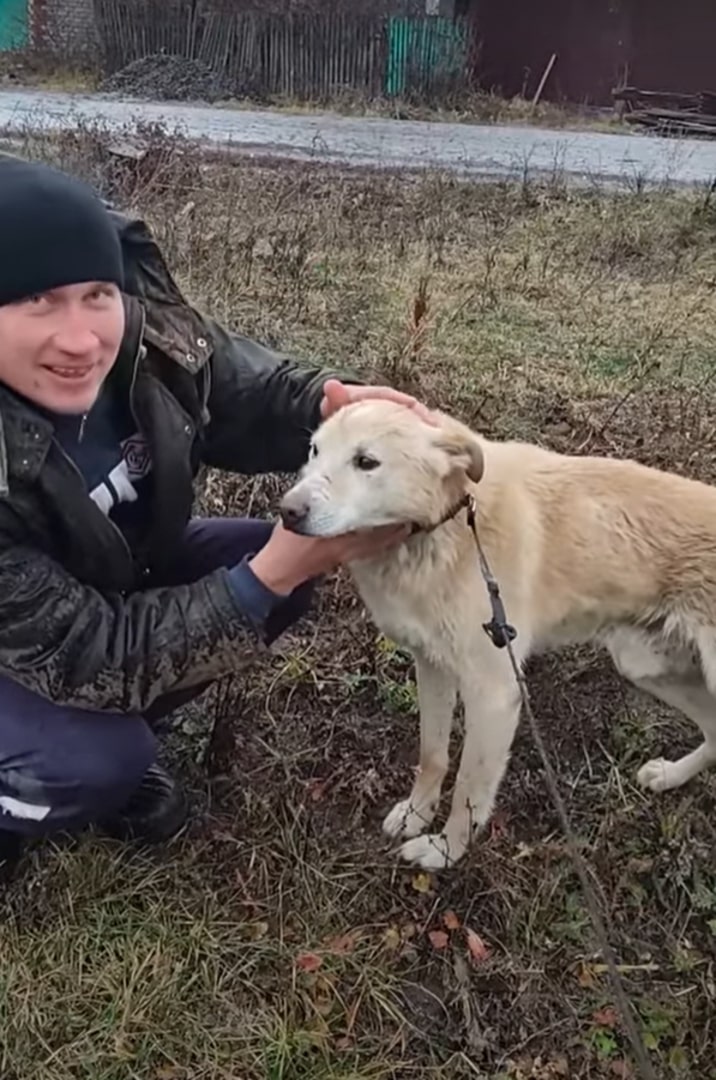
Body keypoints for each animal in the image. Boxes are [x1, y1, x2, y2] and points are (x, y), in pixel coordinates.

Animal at [278, 401, 716, 872]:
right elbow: (432, 755)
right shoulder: (432, 665)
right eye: (315, 450)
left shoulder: (494, 696)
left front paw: (444, 850)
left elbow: (468, 792)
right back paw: (670, 776)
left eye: (366, 461)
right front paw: (417, 813)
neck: (448, 525)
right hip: (645, 664)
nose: (287, 511)